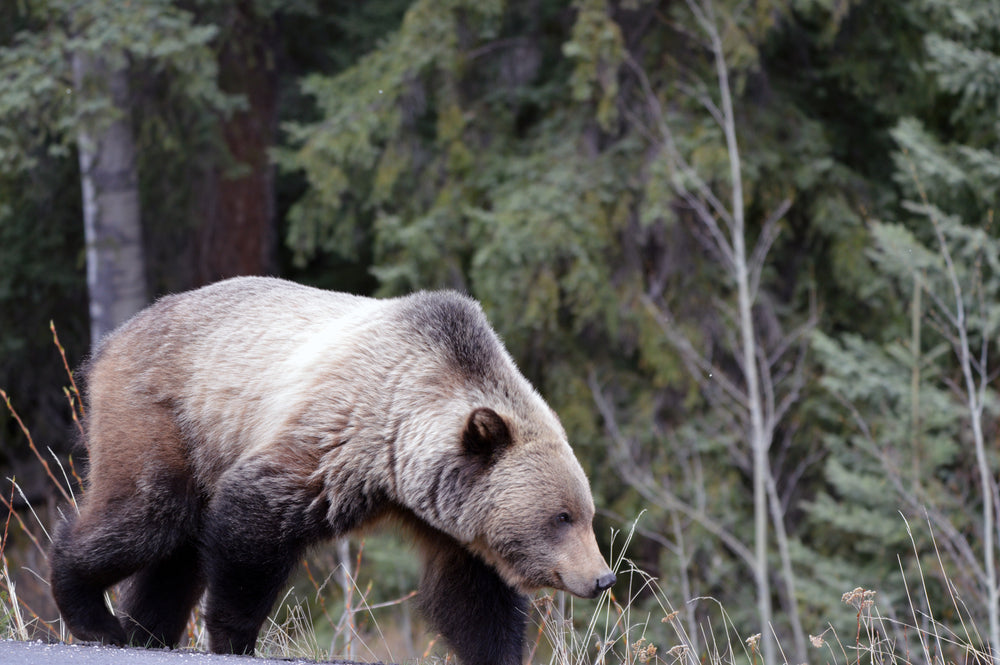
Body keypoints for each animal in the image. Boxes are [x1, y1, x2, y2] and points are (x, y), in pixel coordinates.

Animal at [48, 276, 616, 664]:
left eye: (586, 515)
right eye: (561, 517)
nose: (602, 578)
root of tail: (117, 335)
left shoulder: (447, 517)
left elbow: (474, 596)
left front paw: (497, 651)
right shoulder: (336, 441)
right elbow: (254, 522)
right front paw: (234, 636)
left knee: (178, 549)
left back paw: (147, 630)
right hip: (167, 413)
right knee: (149, 513)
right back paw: (94, 616)